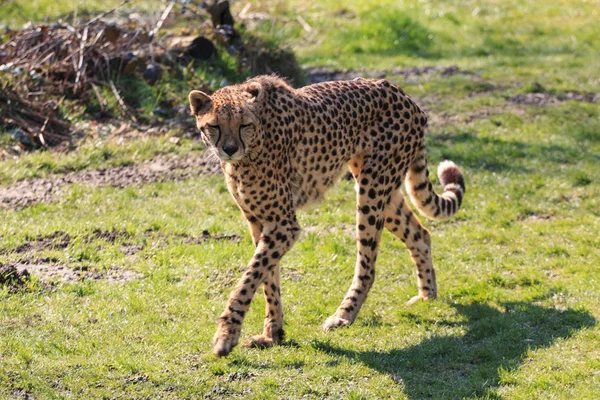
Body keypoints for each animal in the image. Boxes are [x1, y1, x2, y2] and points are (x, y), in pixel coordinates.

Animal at [188, 75, 464, 356]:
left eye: (244, 124)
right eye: (214, 125)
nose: (229, 149)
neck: (253, 147)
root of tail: (402, 94)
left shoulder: (284, 225)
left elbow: (249, 277)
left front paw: (227, 334)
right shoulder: (258, 221)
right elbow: (267, 279)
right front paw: (273, 332)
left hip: (372, 189)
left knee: (368, 265)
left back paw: (343, 315)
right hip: (382, 189)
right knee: (421, 233)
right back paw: (427, 295)